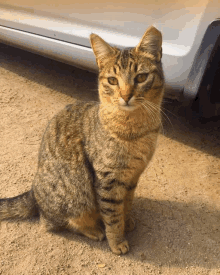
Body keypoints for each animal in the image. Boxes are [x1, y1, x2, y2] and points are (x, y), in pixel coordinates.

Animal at [0, 26, 164, 256]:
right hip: (76, 193)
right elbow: (113, 216)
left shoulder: (133, 176)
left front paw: (127, 219)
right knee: (53, 223)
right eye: (112, 81)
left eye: (141, 77)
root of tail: (33, 192)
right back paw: (92, 230)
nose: (126, 96)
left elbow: (127, 204)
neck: (136, 129)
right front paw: (117, 240)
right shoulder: (108, 179)